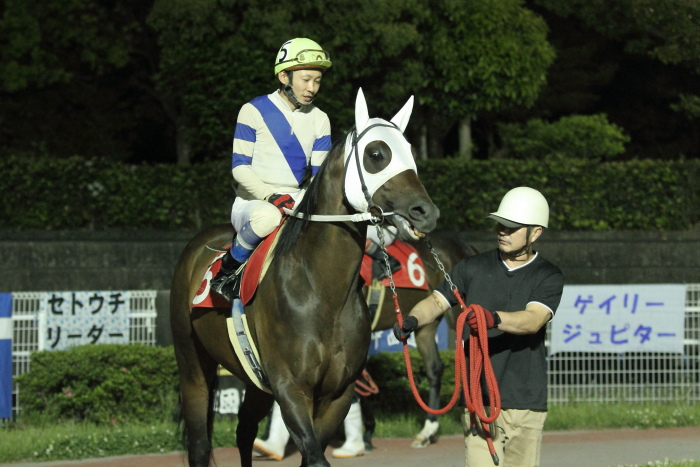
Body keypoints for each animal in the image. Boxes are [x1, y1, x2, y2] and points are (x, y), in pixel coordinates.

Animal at [171, 88, 438, 467]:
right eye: (376, 154)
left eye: (411, 152)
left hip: (256, 381)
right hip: (193, 365)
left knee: (244, 431)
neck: (323, 291)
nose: (425, 212)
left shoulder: (338, 391)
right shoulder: (290, 387)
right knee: (198, 443)